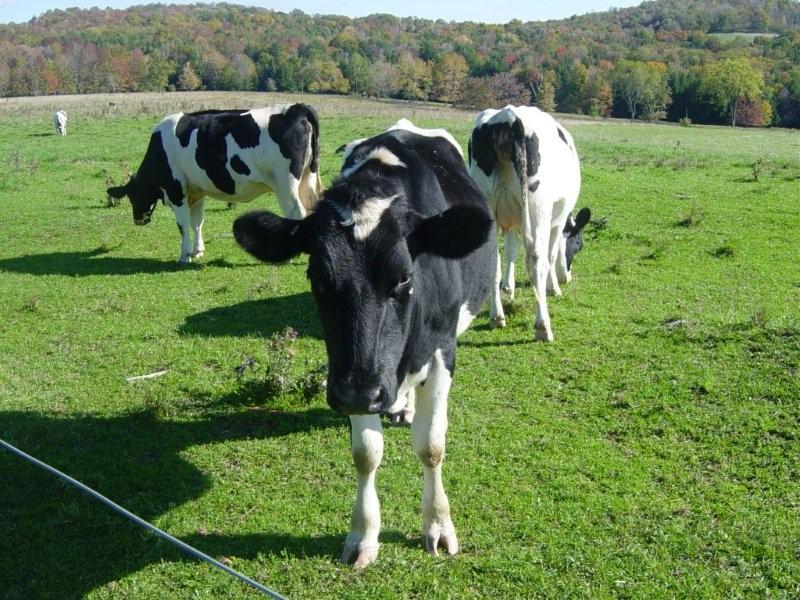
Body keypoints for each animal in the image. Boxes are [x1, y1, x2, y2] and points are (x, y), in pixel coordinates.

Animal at [106, 104, 322, 263]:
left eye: (133, 196)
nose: (138, 220)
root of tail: (296, 107)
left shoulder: (176, 191)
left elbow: (183, 225)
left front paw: (184, 256)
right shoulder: (196, 192)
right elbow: (197, 223)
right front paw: (197, 251)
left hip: (285, 184)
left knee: (296, 212)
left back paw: (289, 257)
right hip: (307, 178)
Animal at [233, 119, 496, 567]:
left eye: (404, 277)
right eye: (316, 277)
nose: (363, 394)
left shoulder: (442, 351)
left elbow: (432, 446)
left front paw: (438, 524)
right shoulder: (350, 376)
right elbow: (366, 454)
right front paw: (363, 533)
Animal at [469, 105, 590, 341]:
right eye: (580, 245)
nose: (568, 277)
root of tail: (508, 118)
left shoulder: (512, 223)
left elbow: (510, 252)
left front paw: (508, 288)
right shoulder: (556, 221)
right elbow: (552, 254)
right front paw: (554, 287)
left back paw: (497, 317)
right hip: (537, 209)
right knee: (536, 259)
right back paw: (543, 326)